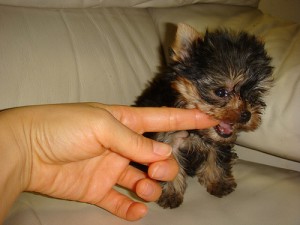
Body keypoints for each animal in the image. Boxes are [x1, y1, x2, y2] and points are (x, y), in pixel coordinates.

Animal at [135, 23, 274, 208]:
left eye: (254, 94)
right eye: (221, 92)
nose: (246, 114)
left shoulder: (220, 142)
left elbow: (217, 158)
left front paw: (218, 183)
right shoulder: (166, 140)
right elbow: (168, 167)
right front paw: (171, 194)